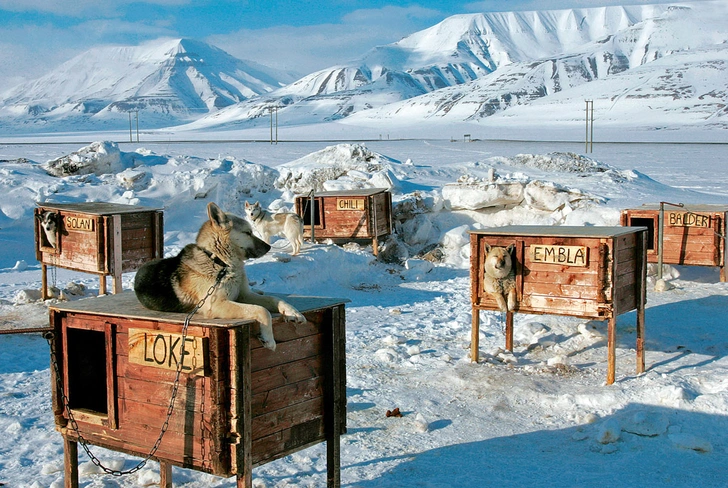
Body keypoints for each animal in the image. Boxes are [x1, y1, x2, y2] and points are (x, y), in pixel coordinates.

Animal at [134, 202, 304, 350]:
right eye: (248, 233)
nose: (269, 247)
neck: (222, 263)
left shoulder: (244, 295)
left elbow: (274, 299)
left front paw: (293, 312)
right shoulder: (217, 304)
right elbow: (262, 310)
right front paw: (268, 338)